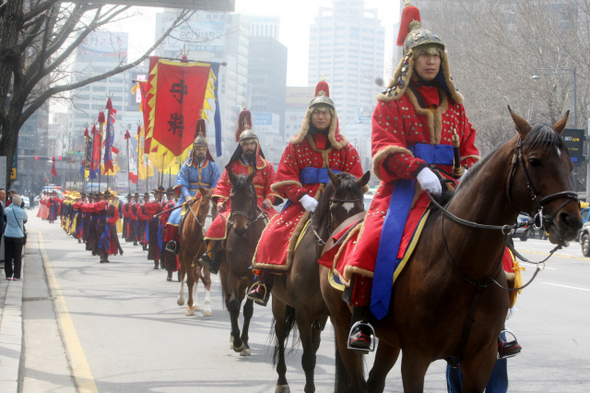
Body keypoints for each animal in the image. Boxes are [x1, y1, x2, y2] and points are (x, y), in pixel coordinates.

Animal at [178, 186, 215, 316]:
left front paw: (207, 307)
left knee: (197, 278)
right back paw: (182, 299)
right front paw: (189, 306)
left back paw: (196, 304)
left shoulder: (206, 258)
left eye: (216, 207)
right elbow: (189, 280)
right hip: (183, 257)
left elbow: (207, 280)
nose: (208, 229)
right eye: (202, 206)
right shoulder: (187, 255)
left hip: (198, 260)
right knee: (184, 274)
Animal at [220, 167, 270, 356]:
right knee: (230, 302)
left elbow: (248, 309)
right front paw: (237, 341)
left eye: (249, 197)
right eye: (232, 197)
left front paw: (245, 342)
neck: (245, 240)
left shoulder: (251, 277)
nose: (239, 229)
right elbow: (233, 305)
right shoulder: (232, 273)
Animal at [272, 170, 370, 392]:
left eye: (361, 207)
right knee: (281, 333)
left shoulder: (332, 313)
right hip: (279, 301)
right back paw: (281, 381)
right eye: (333, 209)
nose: (347, 242)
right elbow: (308, 359)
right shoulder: (302, 312)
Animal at [320, 108, 584, 392]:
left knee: (375, 380)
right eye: (535, 161)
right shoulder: (415, 358)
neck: (466, 268)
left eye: (570, 164)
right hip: (342, 326)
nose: (572, 221)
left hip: (389, 341)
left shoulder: (480, 361)